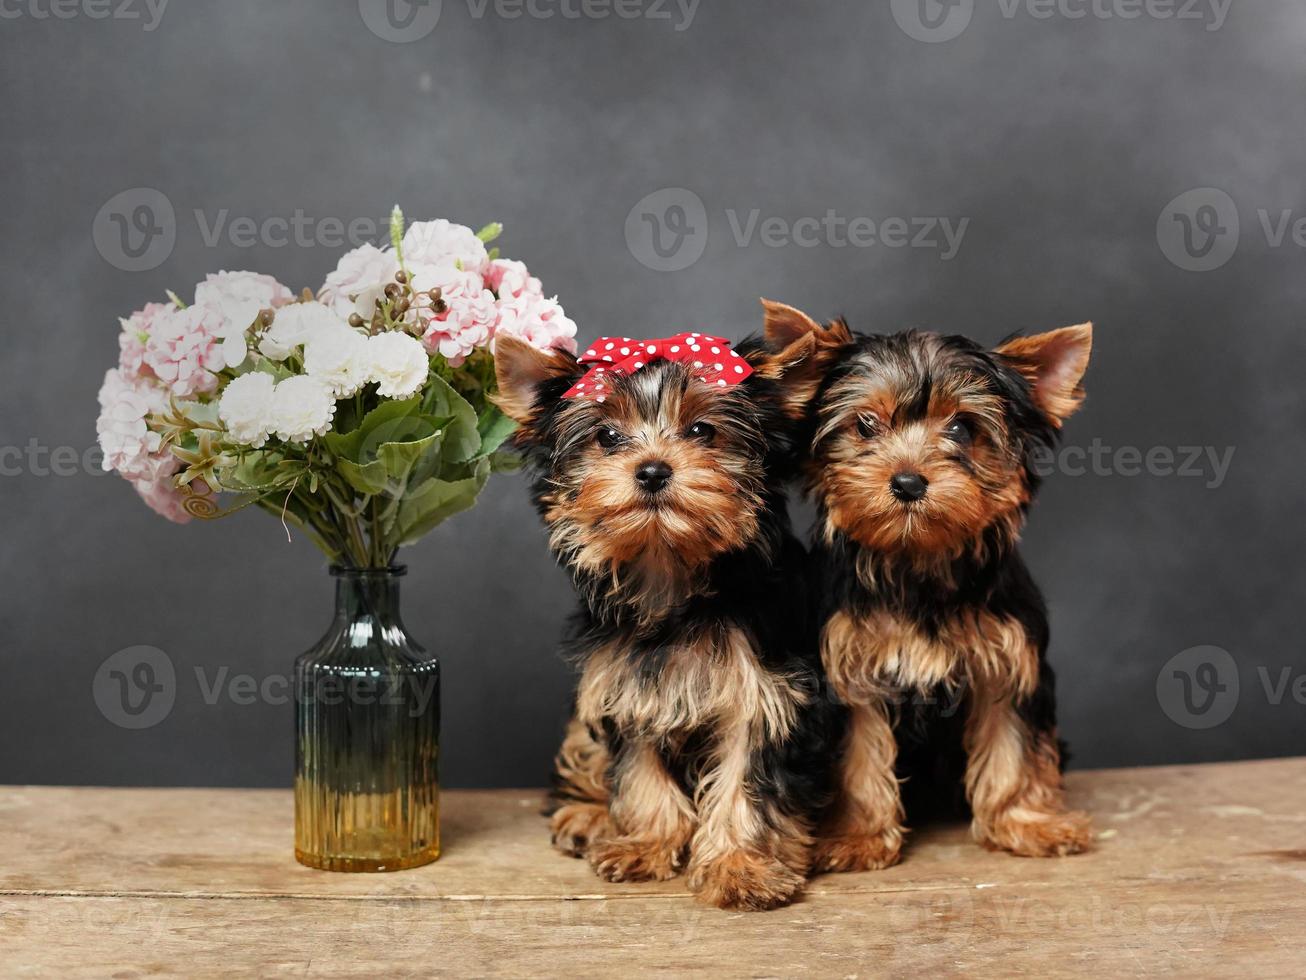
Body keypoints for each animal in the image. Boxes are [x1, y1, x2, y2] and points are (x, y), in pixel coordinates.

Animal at [493, 331, 830, 914]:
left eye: (702, 430)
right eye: (607, 437)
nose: (651, 470)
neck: (670, 571)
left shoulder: (765, 693)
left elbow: (745, 782)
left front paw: (740, 865)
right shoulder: (625, 683)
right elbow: (640, 769)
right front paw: (645, 843)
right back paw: (587, 815)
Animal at [762, 303, 1097, 872]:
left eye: (962, 427)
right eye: (865, 425)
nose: (907, 481)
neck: (918, 559)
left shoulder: (1009, 661)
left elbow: (1012, 744)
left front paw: (1023, 822)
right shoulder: (850, 672)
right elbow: (859, 753)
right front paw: (859, 835)